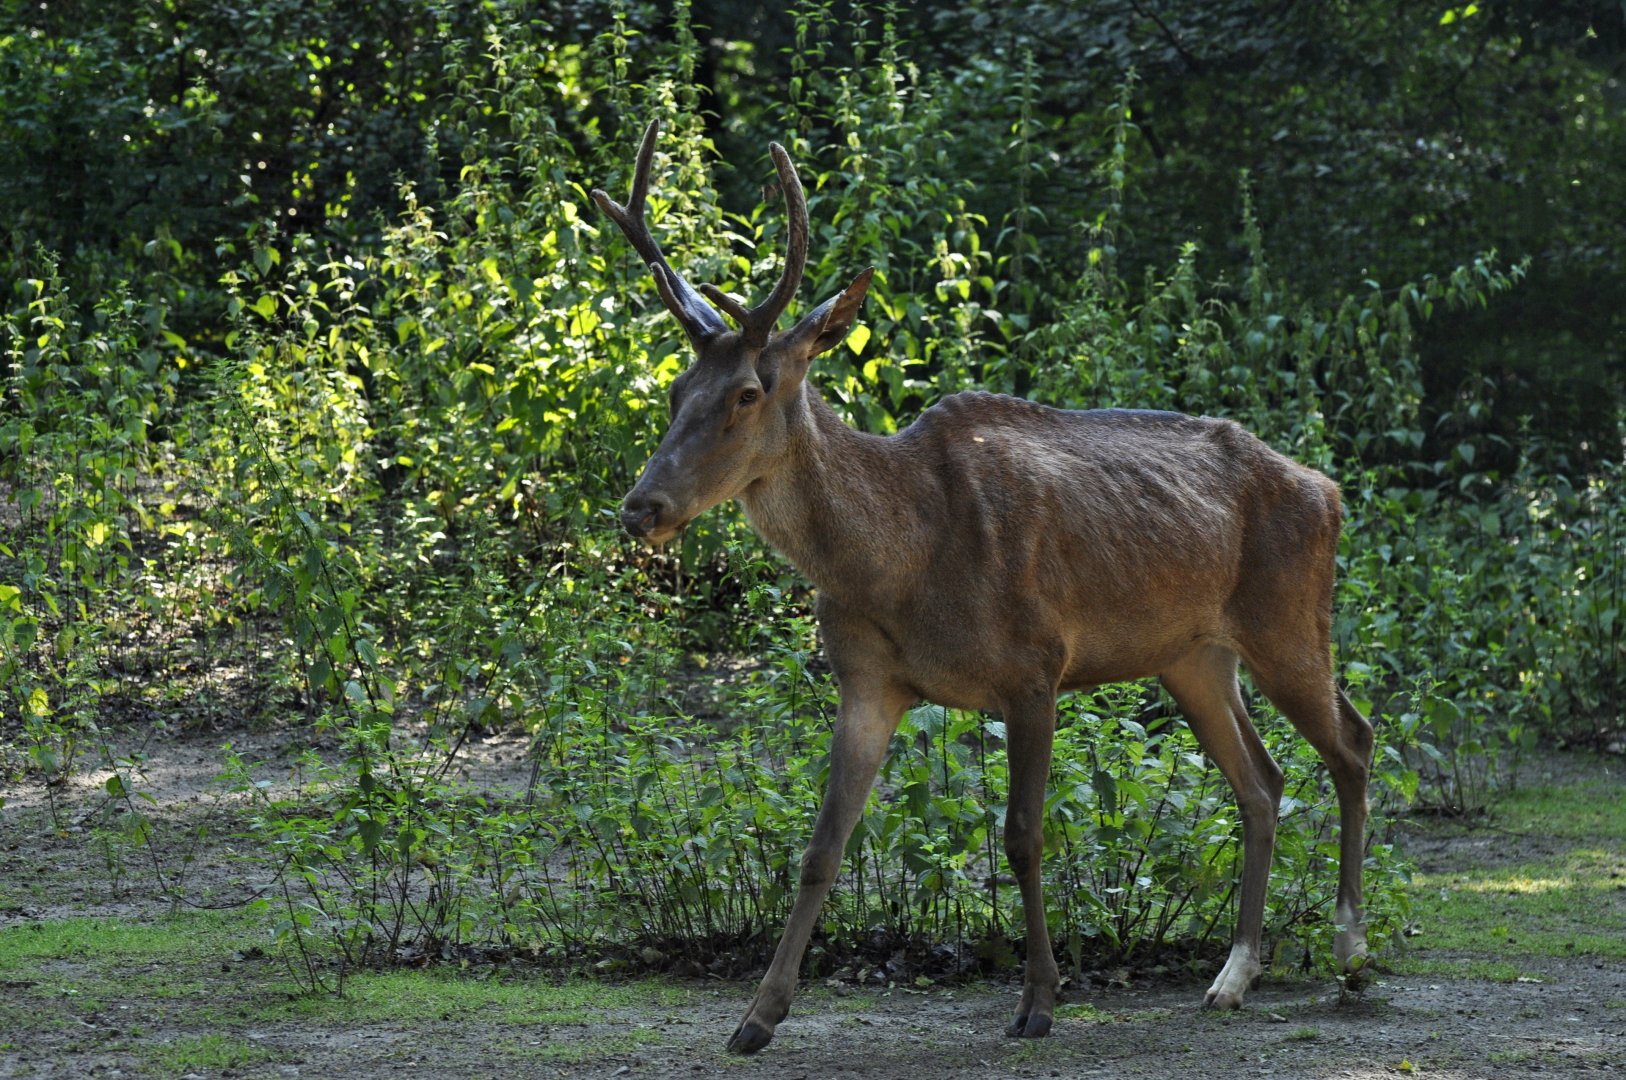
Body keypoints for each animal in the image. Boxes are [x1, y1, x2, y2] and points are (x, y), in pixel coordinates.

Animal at [592, 118, 1375, 1055]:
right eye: (676, 387)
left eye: (747, 392)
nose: (641, 508)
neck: (901, 563)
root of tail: (1329, 488)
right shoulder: (867, 682)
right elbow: (822, 847)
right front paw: (756, 1018)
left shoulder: (1037, 666)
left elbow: (1024, 836)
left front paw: (1039, 999)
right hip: (1192, 655)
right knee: (1262, 780)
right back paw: (1234, 974)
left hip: (1290, 617)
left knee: (1353, 742)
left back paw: (1351, 950)